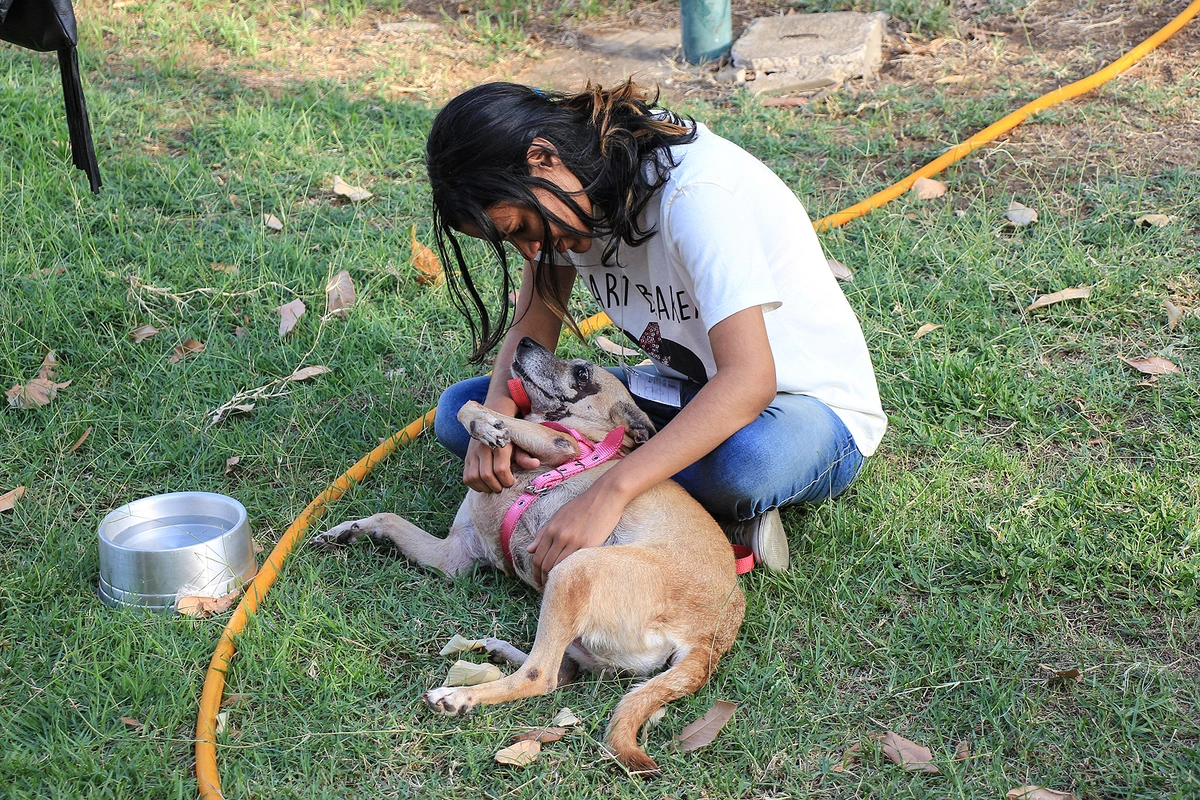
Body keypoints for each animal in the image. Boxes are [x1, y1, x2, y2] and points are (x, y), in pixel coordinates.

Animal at [312, 338, 739, 777]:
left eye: (582, 373)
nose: (525, 342)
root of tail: (711, 636)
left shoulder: (560, 444)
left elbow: (473, 406)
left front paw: (487, 427)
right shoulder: (454, 557)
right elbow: (388, 518)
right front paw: (346, 529)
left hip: (573, 570)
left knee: (541, 676)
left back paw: (460, 696)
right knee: (562, 671)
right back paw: (497, 651)